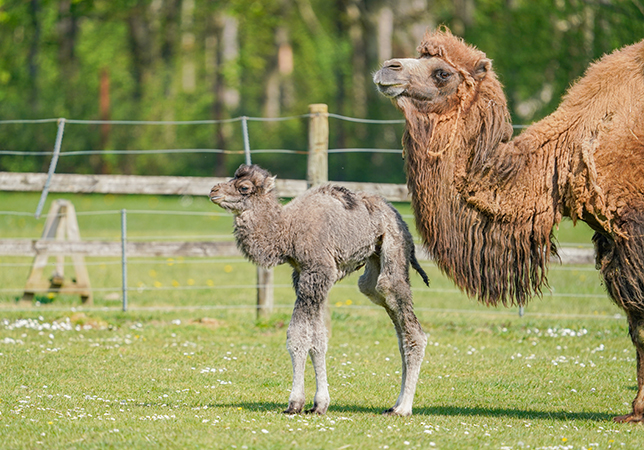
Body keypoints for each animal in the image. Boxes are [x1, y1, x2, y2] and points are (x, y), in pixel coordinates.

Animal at [209, 164, 429, 416]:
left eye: (244, 187)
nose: (214, 190)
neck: (288, 230)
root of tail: (399, 218)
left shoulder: (318, 272)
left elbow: (298, 336)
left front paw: (295, 403)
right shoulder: (302, 275)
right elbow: (317, 339)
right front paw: (319, 404)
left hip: (394, 249)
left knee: (410, 326)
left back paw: (404, 408)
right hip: (374, 263)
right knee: (393, 321)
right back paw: (395, 404)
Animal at [374, 27, 644, 422]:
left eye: (442, 73)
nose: (387, 68)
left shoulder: (634, 233)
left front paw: (638, 410)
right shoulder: (613, 240)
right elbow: (636, 323)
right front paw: (636, 410)